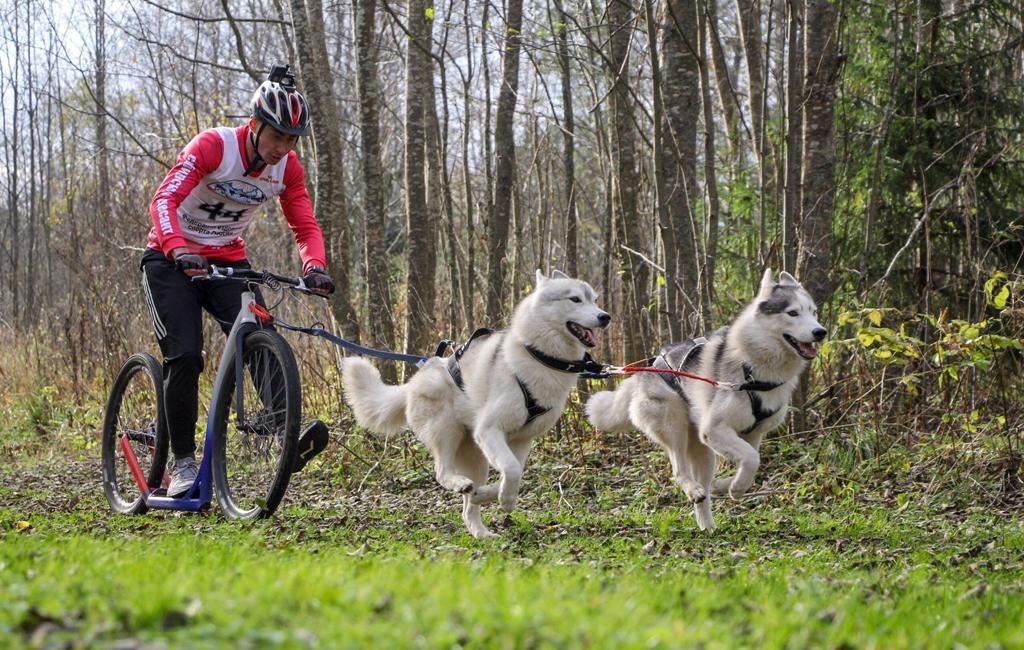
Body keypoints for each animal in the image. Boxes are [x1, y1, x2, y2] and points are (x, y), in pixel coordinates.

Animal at [339, 270, 610, 540]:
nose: (605, 317)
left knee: (468, 509)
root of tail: (414, 380)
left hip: (477, 457)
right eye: (575, 299)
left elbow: (514, 473)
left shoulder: (523, 440)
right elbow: (512, 470)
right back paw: (460, 484)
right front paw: (506, 499)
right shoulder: (490, 430)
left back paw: (481, 530)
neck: (540, 356)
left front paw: (491, 495)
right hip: (447, 430)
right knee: (442, 472)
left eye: (595, 300)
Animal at [585, 270, 823, 528]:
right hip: (674, 427)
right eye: (792, 313)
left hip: (703, 449)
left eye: (813, 311)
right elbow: (752, 459)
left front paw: (727, 486)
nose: (821, 332)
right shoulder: (714, 429)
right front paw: (735, 488)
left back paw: (707, 523)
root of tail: (647, 367)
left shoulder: (753, 434)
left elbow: (752, 462)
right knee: (679, 470)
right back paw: (693, 491)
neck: (756, 373)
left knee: (703, 488)